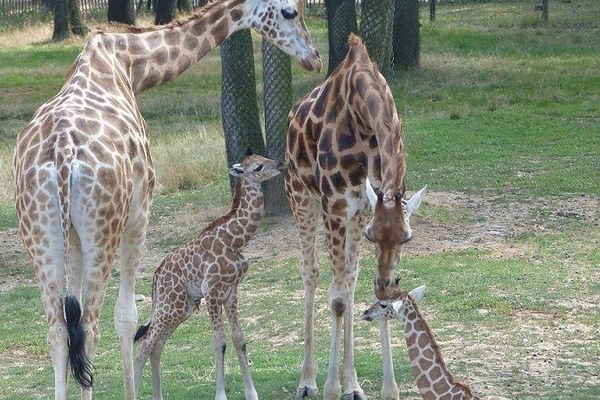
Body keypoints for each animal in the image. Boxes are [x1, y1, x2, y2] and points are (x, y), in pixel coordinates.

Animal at [135, 154, 288, 400]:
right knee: (144, 344)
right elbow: (219, 342)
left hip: (182, 308)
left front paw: (252, 393)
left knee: (156, 345)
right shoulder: (213, 292)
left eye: (264, 159)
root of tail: (157, 275)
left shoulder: (231, 291)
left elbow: (239, 338)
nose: (282, 164)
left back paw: (157, 396)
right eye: (258, 167)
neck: (235, 241)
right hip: (170, 306)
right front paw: (221, 395)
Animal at [286, 35, 426, 400]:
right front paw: (331, 387)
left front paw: (379, 388)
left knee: (348, 281)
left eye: (407, 237)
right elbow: (336, 299)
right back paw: (307, 380)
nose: (384, 286)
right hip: (301, 197)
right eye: (372, 236)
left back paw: (352, 384)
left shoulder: (363, 209)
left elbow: (358, 290)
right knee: (311, 273)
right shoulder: (336, 205)